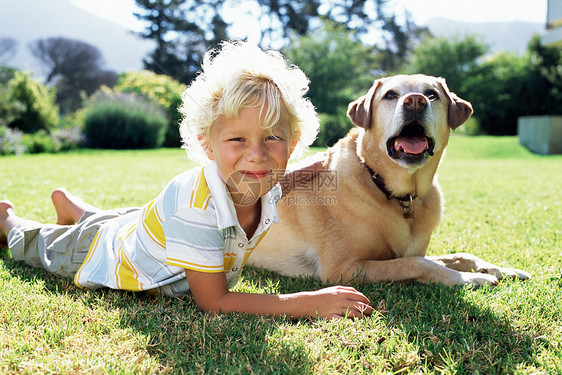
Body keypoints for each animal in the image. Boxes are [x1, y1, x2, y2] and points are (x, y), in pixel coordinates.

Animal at [250, 75, 528, 286]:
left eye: (432, 94)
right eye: (390, 95)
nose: (415, 101)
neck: (397, 194)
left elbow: (460, 254)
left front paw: (502, 269)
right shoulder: (343, 269)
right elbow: (417, 263)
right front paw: (469, 279)